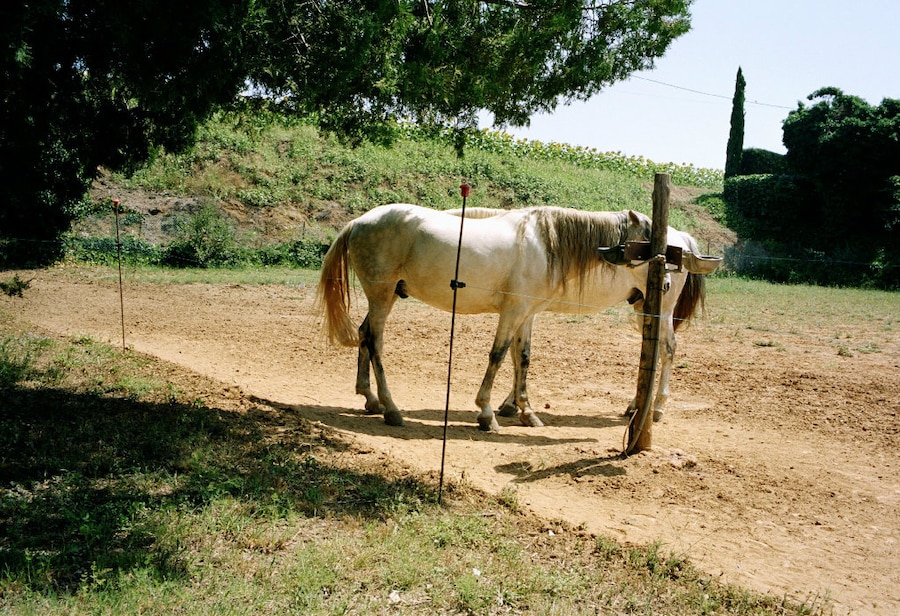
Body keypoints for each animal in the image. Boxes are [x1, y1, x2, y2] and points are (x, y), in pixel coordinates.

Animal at [317, 203, 707, 431]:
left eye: (665, 252)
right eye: (645, 249)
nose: (666, 281)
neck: (545, 243)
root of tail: (359, 221)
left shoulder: (527, 313)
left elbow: (522, 358)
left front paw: (525, 410)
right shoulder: (513, 311)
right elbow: (499, 355)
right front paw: (487, 412)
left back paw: (371, 400)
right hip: (382, 297)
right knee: (374, 341)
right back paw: (390, 408)